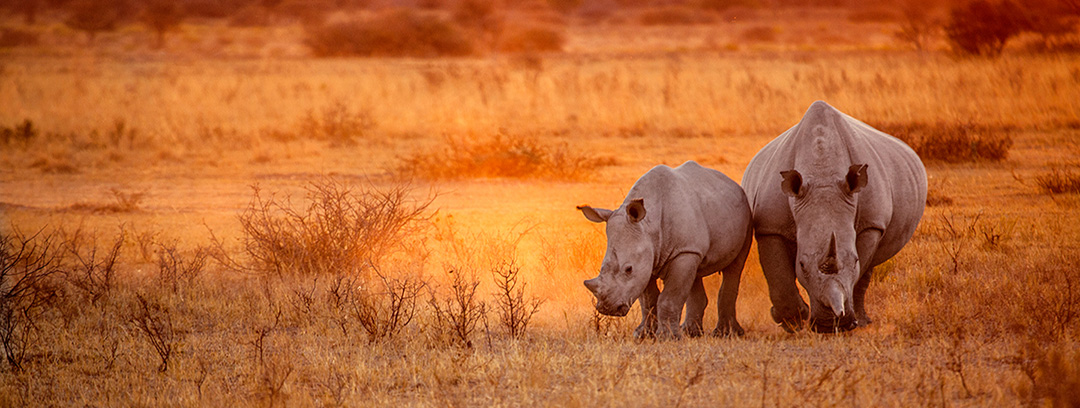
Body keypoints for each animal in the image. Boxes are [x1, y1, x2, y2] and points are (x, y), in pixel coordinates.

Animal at [583, 160, 751, 338]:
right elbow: (648, 300)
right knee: (695, 272)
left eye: (628, 269)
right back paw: (691, 332)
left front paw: (667, 337)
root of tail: (734, 184)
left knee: (735, 267)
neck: (648, 226)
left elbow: (669, 297)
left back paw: (726, 334)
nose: (607, 309)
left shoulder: (682, 251)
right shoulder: (650, 256)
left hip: (746, 215)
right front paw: (643, 334)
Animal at [743, 100, 928, 332]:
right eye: (801, 265)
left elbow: (860, 269)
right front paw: (792, 321)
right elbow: (778, 274)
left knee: (870, 266)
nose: (830, 325)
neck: (822, 174)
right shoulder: (770, 226)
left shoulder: (871, 223)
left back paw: (863, 321)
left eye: (855, 260)